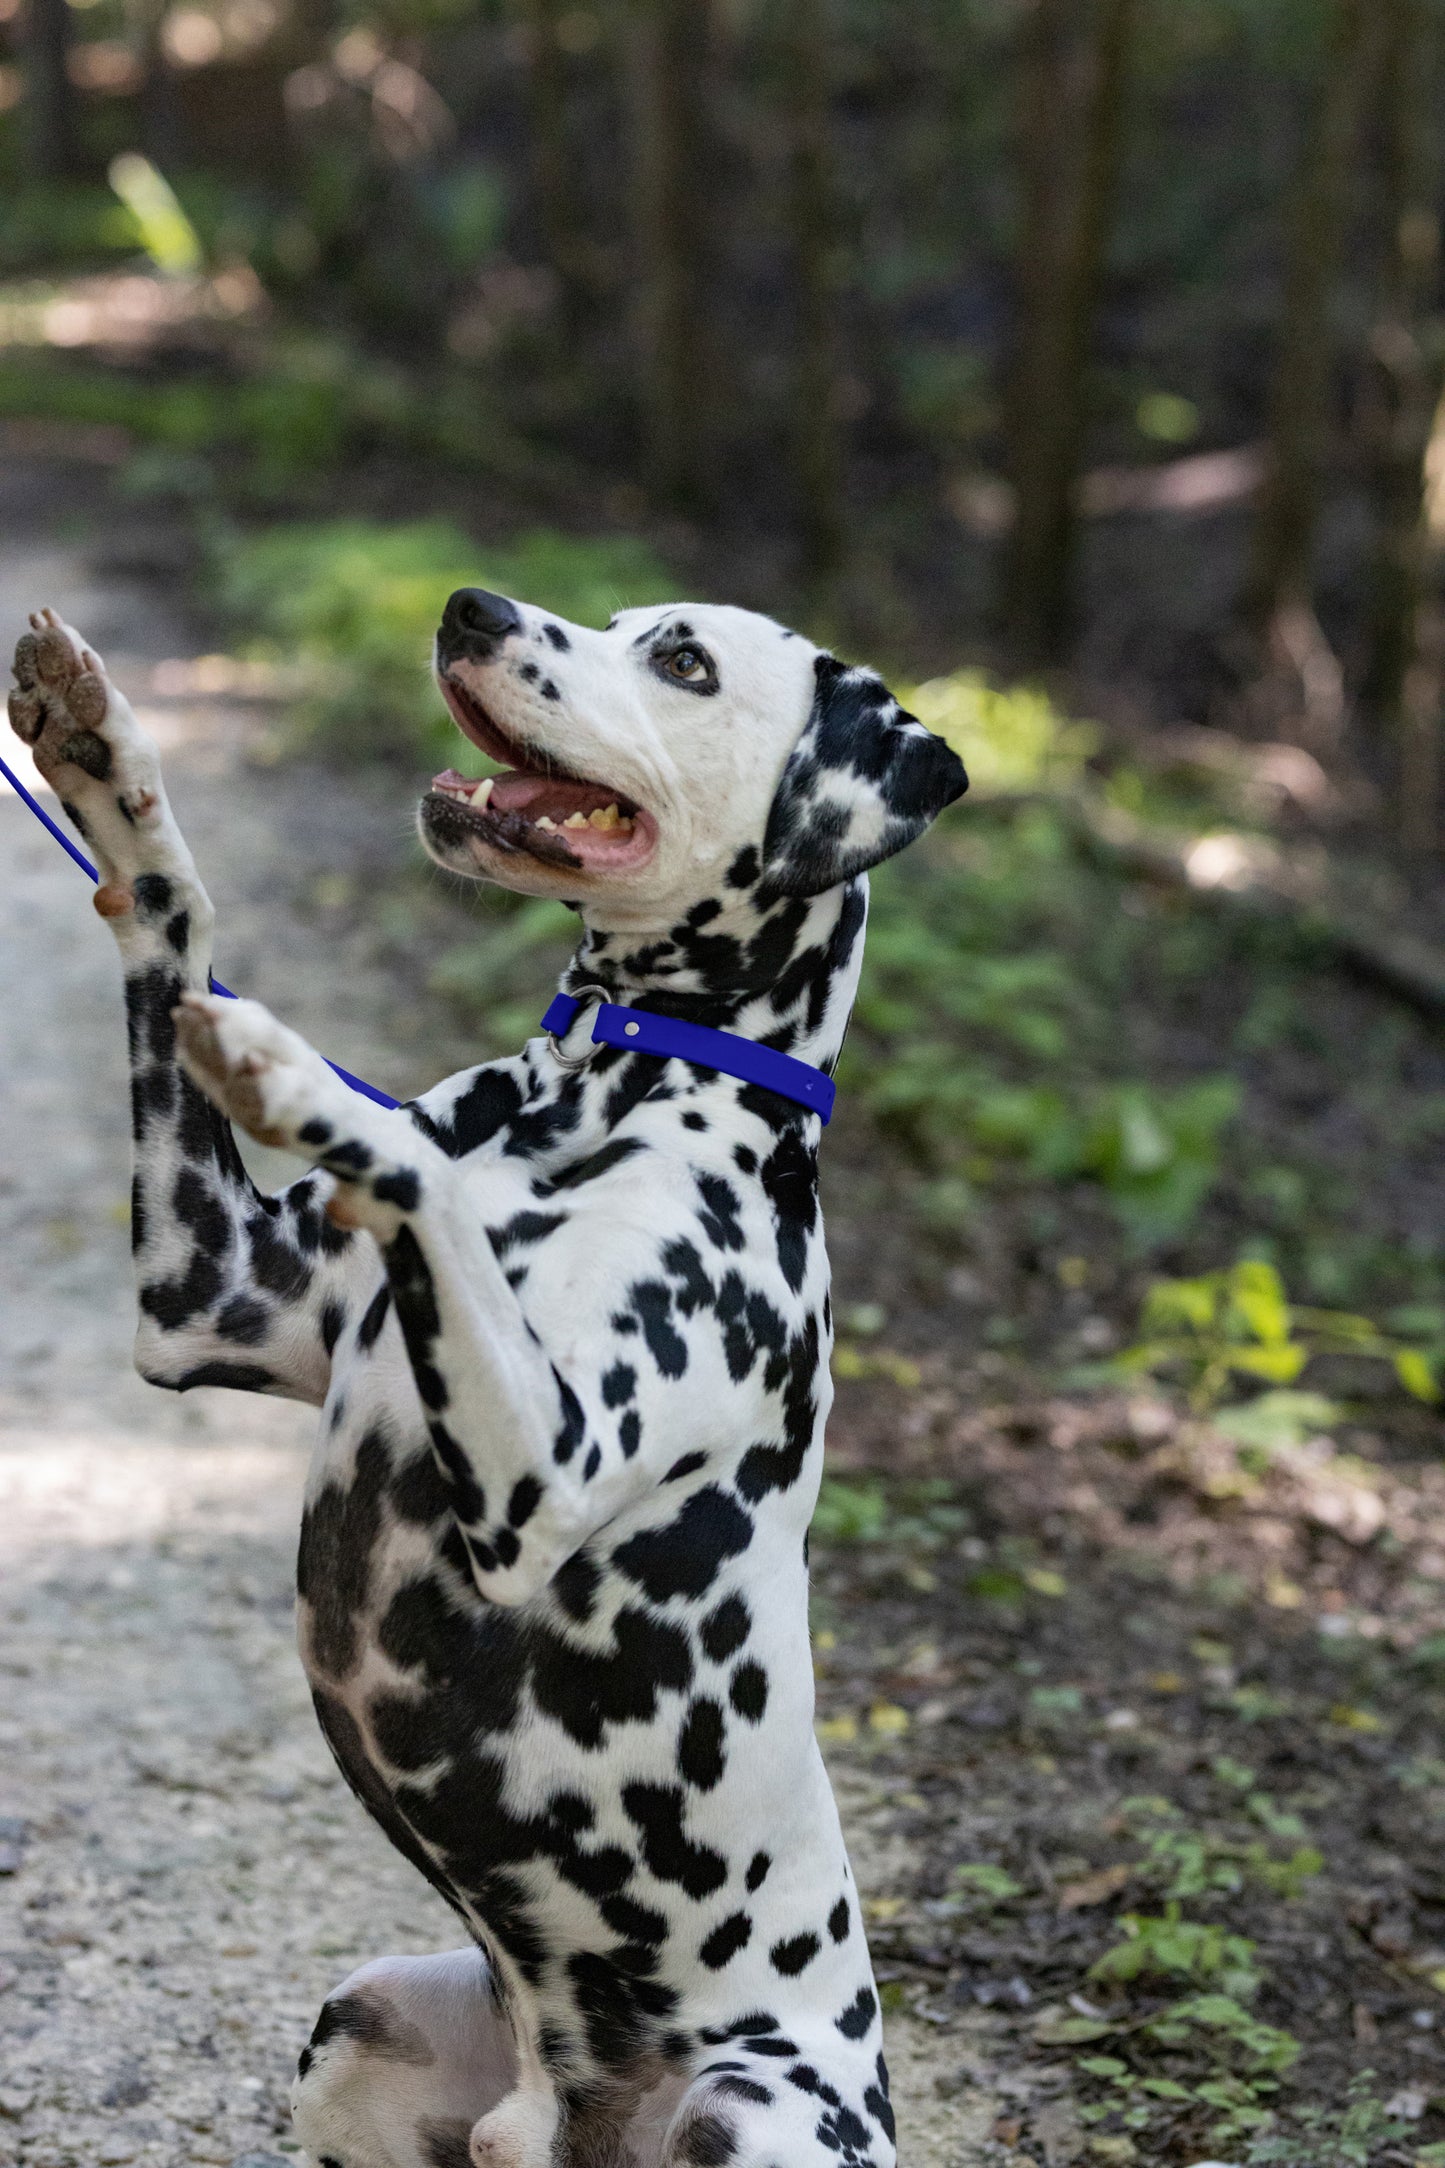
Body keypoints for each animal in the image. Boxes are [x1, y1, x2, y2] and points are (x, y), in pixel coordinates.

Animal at [11, 594, 966, 2168]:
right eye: (620, 617)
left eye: (682, 660)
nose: (473, 606)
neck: (608, 1089)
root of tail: (559, 2117)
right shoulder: (203, 1293)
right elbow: (168, 915)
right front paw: (103, 755)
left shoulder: (542, 1475)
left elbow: (418, 1177)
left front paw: (298, 1077)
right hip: (356, 2024)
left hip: (750, 2106)